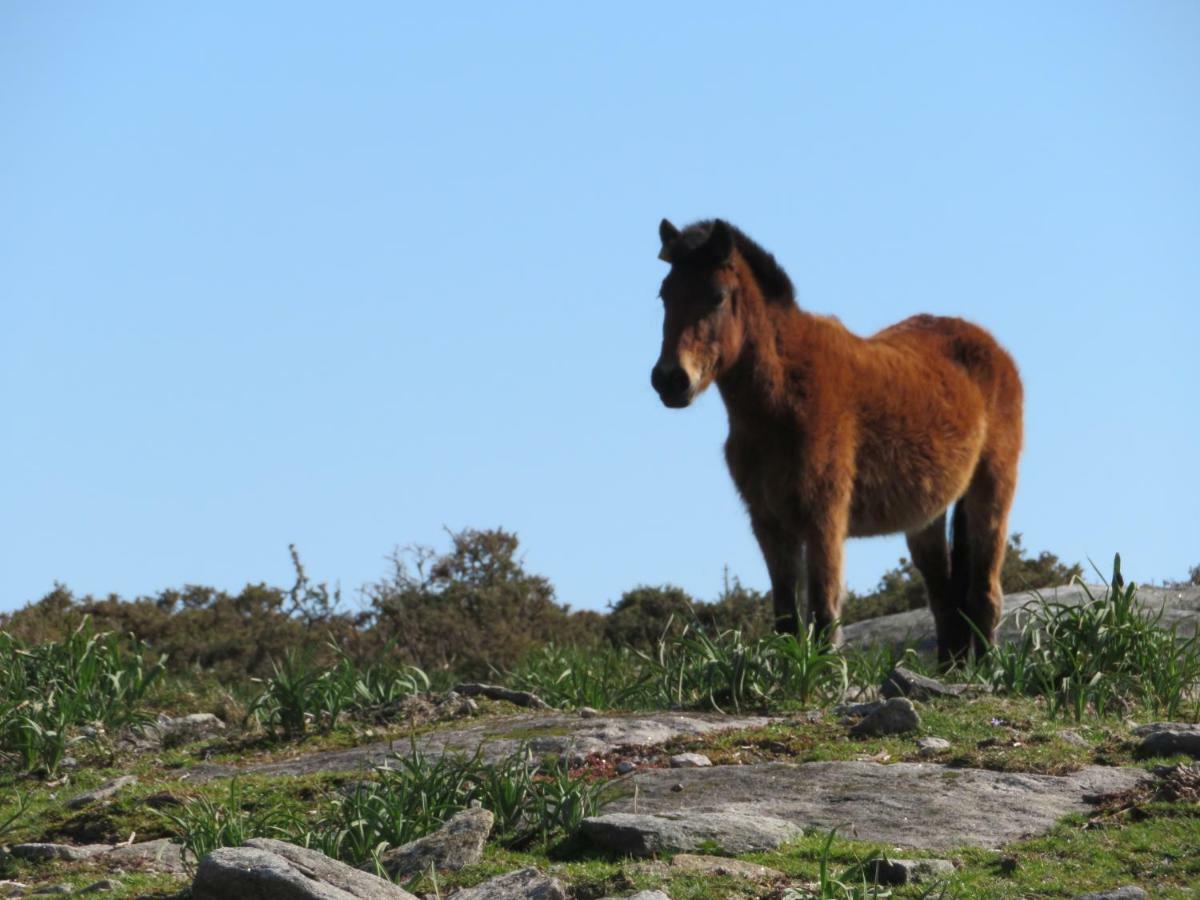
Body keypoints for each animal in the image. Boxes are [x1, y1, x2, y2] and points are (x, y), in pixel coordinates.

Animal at [657, 220, 1022, 667]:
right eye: (664, 294)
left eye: (717, 296)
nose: (670, 380)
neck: (783, 396)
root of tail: (992, 348)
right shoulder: (769, 524)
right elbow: (786, 618)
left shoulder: (824, 519)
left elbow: (824, 615)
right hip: (928, 519)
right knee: (945, 602)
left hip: (991, 492)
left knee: (984, 595)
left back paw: (986, 672)